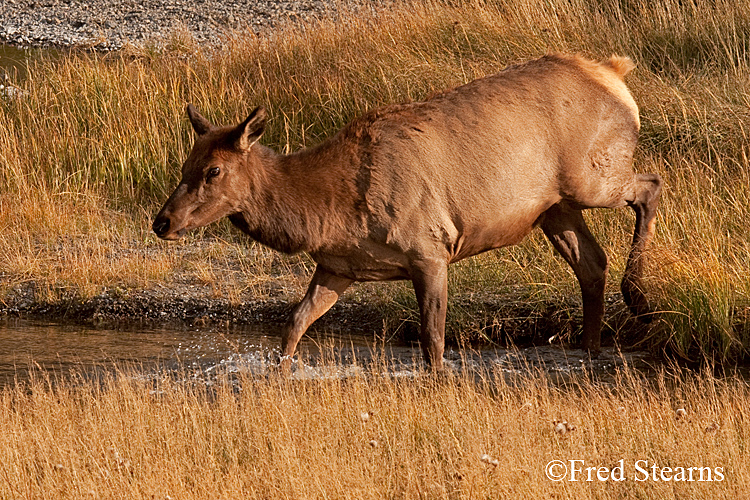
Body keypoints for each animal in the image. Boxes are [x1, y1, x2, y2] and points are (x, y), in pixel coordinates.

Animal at [154, 54, 664, 370]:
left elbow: (433, 341)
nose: (162, 222)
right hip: (553, 208)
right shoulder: (339, 266)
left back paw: (639, 299)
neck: (327, 214)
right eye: (184, 165)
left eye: (214, 170)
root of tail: (615, 73)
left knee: (650, 186)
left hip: (592, 178)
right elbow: (293, 326)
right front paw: (280, 373)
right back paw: (592, 351)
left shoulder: (429, 249)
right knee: (591, 262)